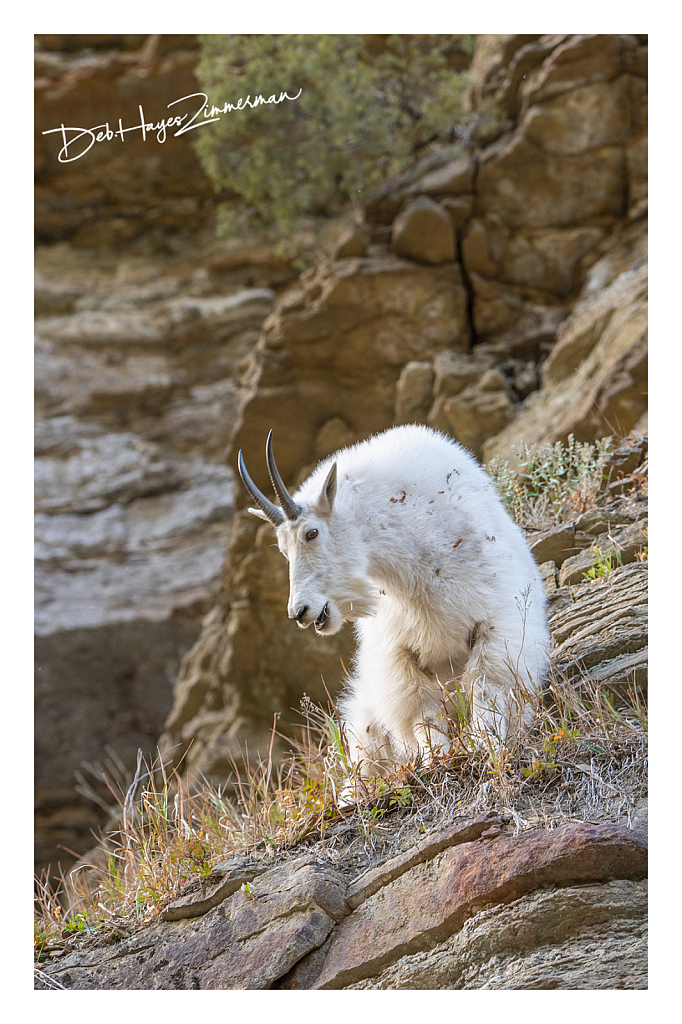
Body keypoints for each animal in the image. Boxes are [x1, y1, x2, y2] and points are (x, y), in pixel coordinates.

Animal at [237, 425, 548, 774]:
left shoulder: (495, 626)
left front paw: (489, 748)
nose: (300, 611)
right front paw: (437, 761)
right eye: (283, 549)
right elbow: (423, 714)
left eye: (311, 533)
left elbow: (485, 691)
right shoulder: (398, 656)